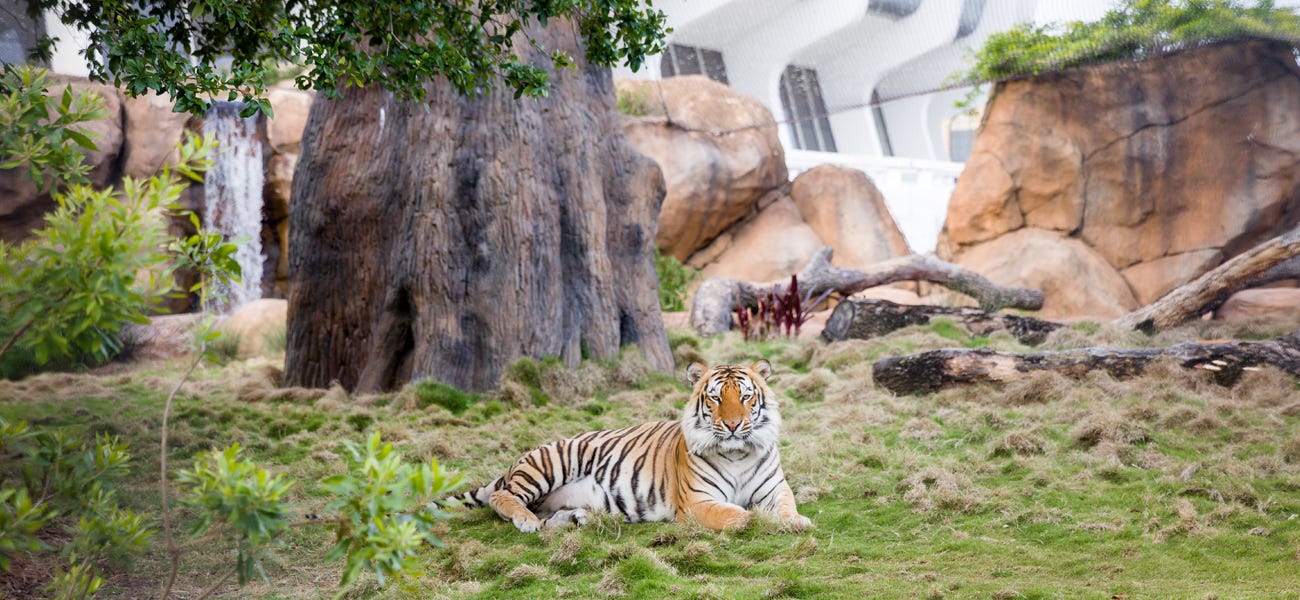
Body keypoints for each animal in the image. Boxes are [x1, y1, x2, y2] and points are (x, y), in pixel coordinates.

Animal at [452, 358, 806, 532]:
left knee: (545, 515)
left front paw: (796, 521)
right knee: (502, 496)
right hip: (551, 463)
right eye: (716, 398)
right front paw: (760, 520)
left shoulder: (775, 489)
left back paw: (572, 520)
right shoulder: (698, 502)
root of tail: (513, 464)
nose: (733, 426)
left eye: (745, 396)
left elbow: (786, 507)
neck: (738, 453)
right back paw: (526, 521)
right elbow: (737, 515)